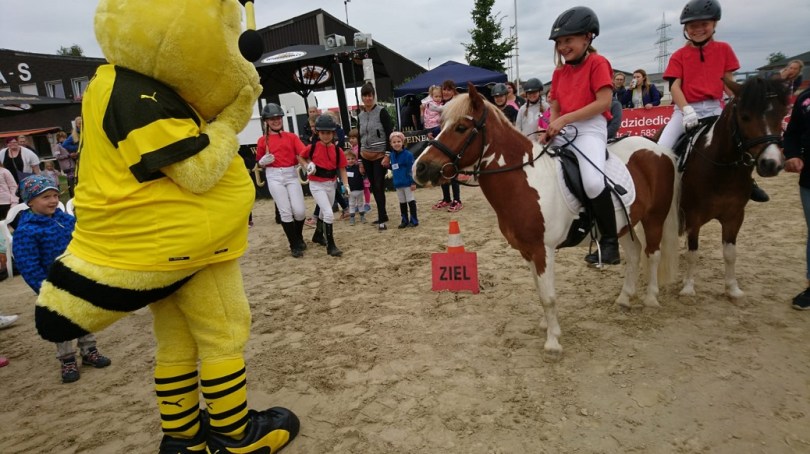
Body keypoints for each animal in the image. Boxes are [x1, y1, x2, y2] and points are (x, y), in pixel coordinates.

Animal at [413, 83, 680, 360]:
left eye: (461, 128)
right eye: (441, 124)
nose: (419, 168)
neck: (526, 179)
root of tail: (658, 149)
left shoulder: (543, 250)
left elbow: (549, 296)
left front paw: (553, 343)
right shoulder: (527, 251)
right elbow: (540, 290)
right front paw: (546, 325)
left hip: (654, 217)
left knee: (653, 254)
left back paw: (651, 299)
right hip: (623, 224)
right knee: (635, 253)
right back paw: (624, 298)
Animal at [671, 77, 789, 300]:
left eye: (782, 114)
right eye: (745, 117)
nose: (771, 164)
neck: (722, 169)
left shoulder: (734, 216)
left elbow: (730, 253)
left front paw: (732, 288)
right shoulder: (693, 216)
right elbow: (693, 253)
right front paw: (689, 287)